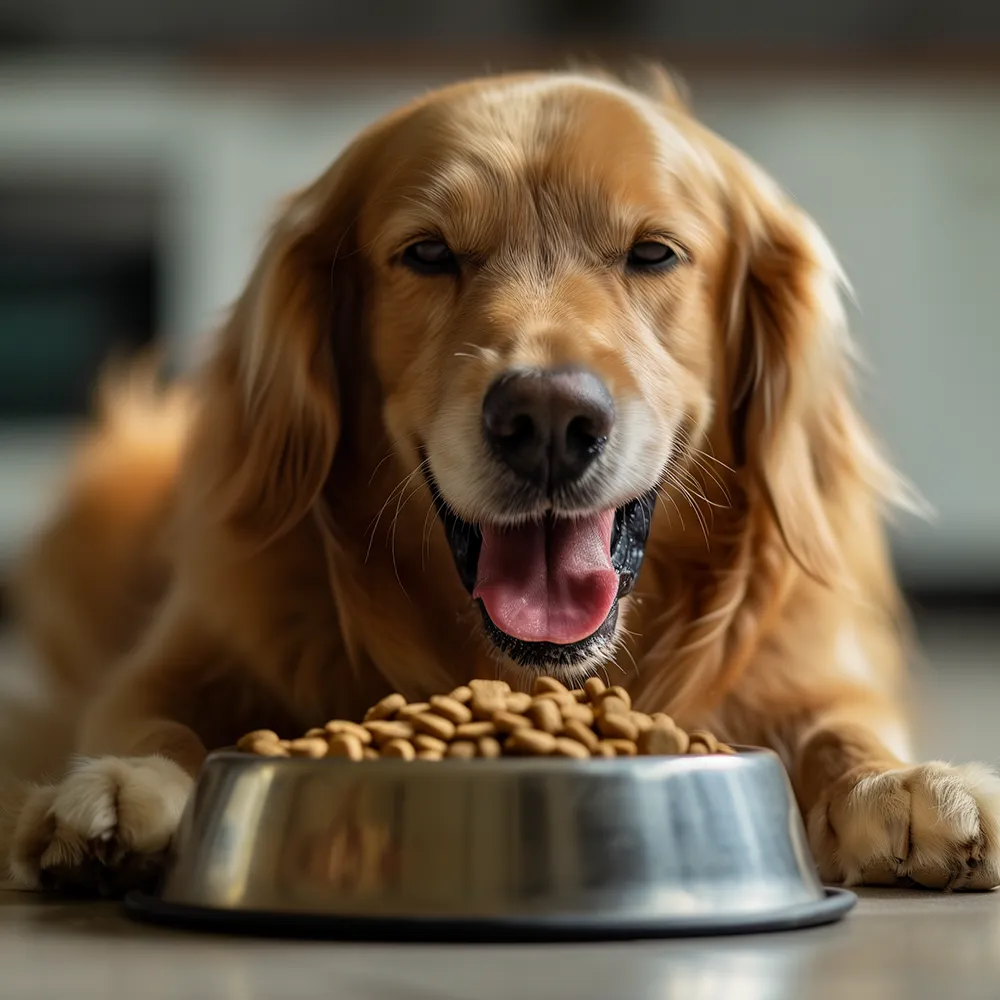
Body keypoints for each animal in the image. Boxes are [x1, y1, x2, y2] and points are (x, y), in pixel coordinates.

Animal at [3, 66, 996, 896]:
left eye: (654, 253)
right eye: (429, 253)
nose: (548, 422)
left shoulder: (811, 671)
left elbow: (841, 729)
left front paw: (904, 784)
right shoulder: (188, 650)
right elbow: (148, 717)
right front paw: (121, 785)